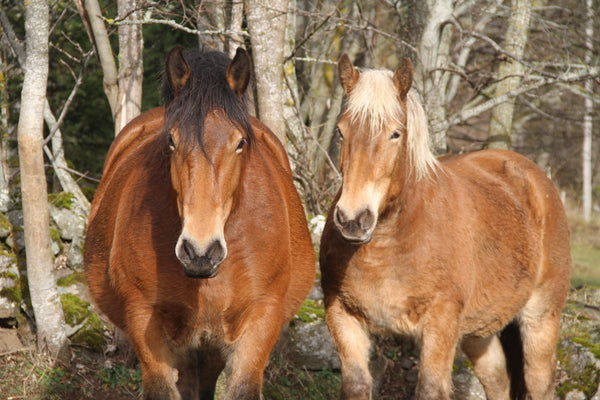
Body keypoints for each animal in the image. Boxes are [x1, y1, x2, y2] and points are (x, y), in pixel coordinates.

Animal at [322, 54, 568, 400]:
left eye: (395, 134)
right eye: (341, 131)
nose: (353, 219)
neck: (391, 243)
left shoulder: (441, 322)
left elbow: (430, 388)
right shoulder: (342, 316)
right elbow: (356, 384)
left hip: (541, 318)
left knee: (539, 381)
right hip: (480, 331)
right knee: (497, 379)